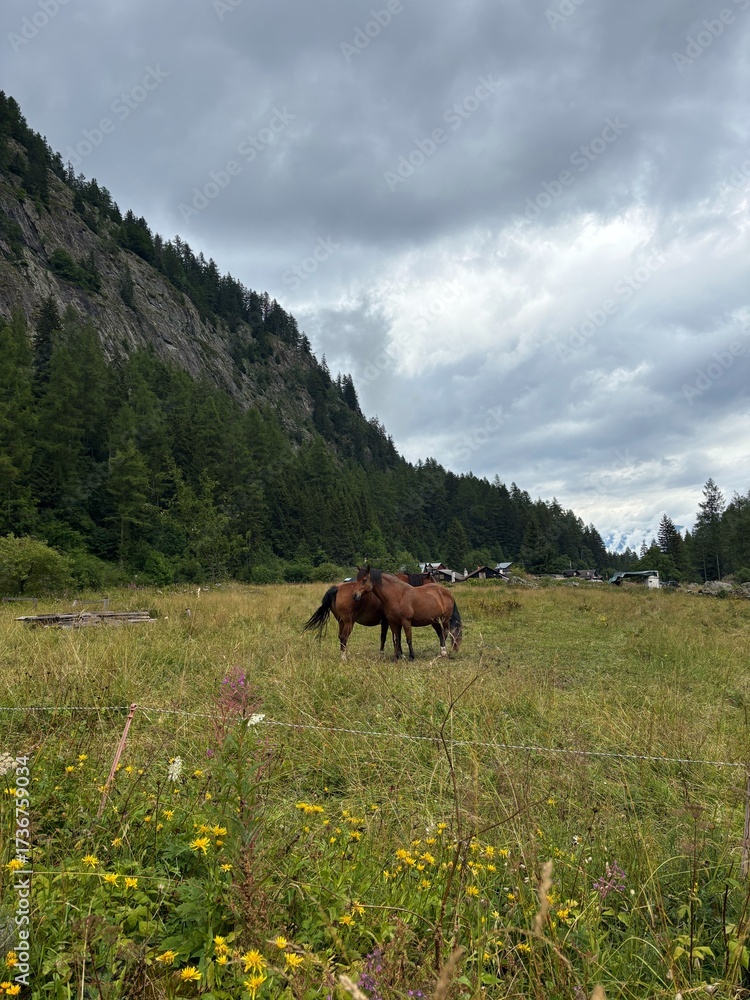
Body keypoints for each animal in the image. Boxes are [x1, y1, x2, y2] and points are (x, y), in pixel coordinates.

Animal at [303, 573, 436, 661]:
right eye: (432, 580)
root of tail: (337, 588)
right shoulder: (389, 621)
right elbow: (388, 637)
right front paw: (396, 654)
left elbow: (391, 637)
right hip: (348, 622)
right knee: (344, 637)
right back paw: (344, 658)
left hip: (341, 622)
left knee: (340, 637)